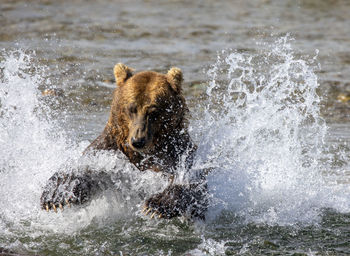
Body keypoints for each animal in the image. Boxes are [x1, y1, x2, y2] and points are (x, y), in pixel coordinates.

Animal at [39, 63, 206, 218]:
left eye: (154, 112)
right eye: (131, 109)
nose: (138, 140)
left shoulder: (177, 153)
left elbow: (191, 184)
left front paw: (156, 205)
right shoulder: (109, 147)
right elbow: (85, 166)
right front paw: (56, 194)